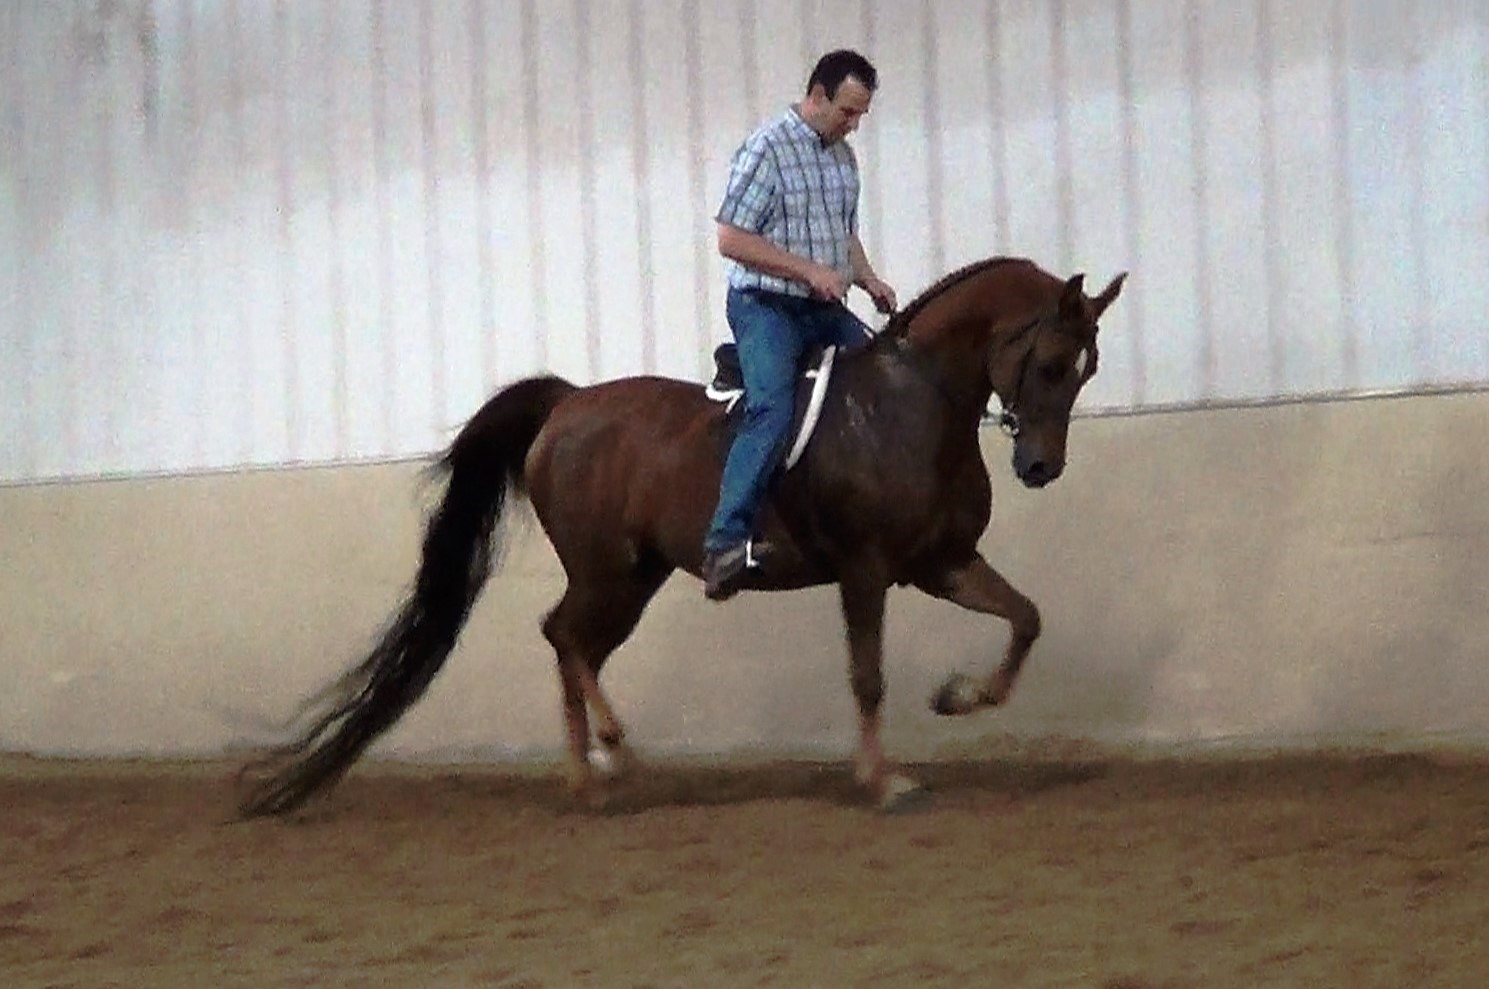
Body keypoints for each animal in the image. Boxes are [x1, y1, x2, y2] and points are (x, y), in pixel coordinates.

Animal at [238, 255, 1126, 816]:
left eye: (1086, 370)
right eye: (1051, 362)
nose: (1039, 465)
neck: (910, 407)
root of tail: (565, 404)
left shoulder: (942, 562)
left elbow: (1025, 618)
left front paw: (958, 696)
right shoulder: (866, 569)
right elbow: (866, 675)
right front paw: (882, 782)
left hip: (634, 576)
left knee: (573, 643)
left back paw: (592, 775)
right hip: (605, 569)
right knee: (563, 636)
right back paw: (611, 757)